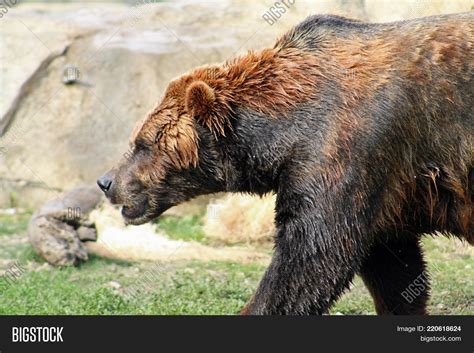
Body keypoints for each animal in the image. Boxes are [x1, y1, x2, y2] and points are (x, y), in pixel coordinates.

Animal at [98, 13, 472, 314]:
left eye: (142, 143)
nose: (106, 181)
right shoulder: (389, 191)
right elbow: (394, 267)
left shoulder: (347, 149)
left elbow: (310, 256)